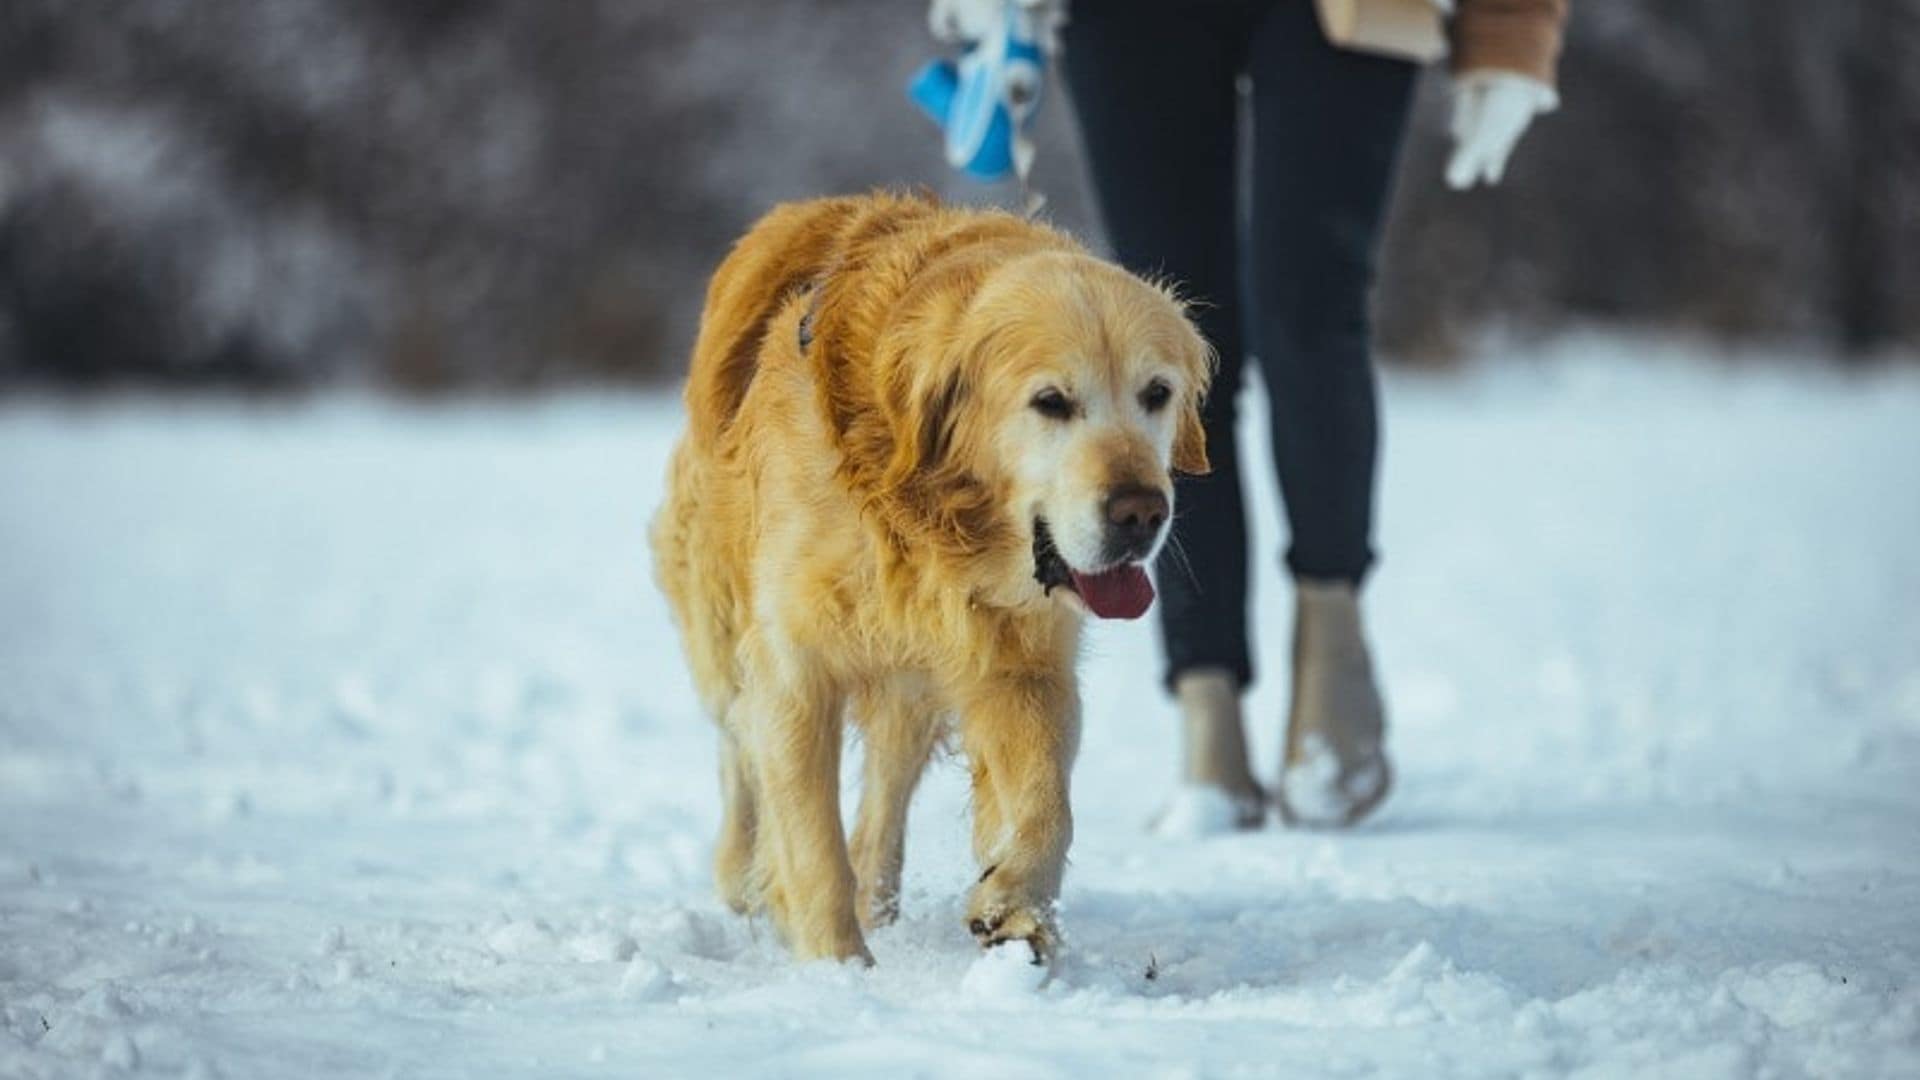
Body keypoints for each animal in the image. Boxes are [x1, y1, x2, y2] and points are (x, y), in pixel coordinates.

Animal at [652, 191, 1205, 957]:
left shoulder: (1019, 661)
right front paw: (838, 967)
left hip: (908, 687)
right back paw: (742, 880)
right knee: (738, 747)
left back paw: (881, 900)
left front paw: (1013, 904)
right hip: (719, 616)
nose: (1141, 513)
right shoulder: (794, 666)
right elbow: (810, 841)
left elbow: (1046, 805)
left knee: (883, 800)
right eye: (1051, 402)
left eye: (1156, 392)